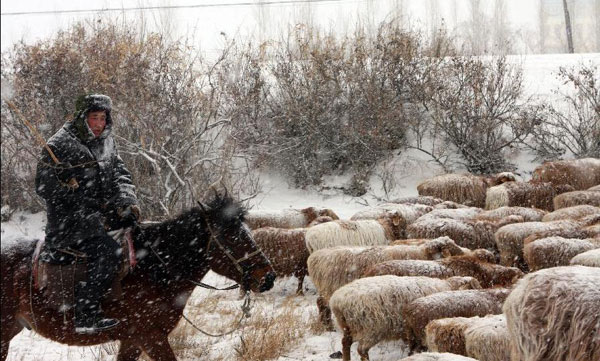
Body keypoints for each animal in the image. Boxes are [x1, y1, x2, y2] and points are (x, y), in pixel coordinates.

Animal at [308, 238, 472, 324]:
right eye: (450, 249)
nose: (468, 253)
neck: (421, 253)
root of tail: (313, 258)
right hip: (330, 288)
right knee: (322, 303)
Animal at [330, 274, 480, 358]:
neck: (448, 286)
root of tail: (338, 302)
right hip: (372, 329)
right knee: (362, 350)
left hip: (349, 328)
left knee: (345, 343)